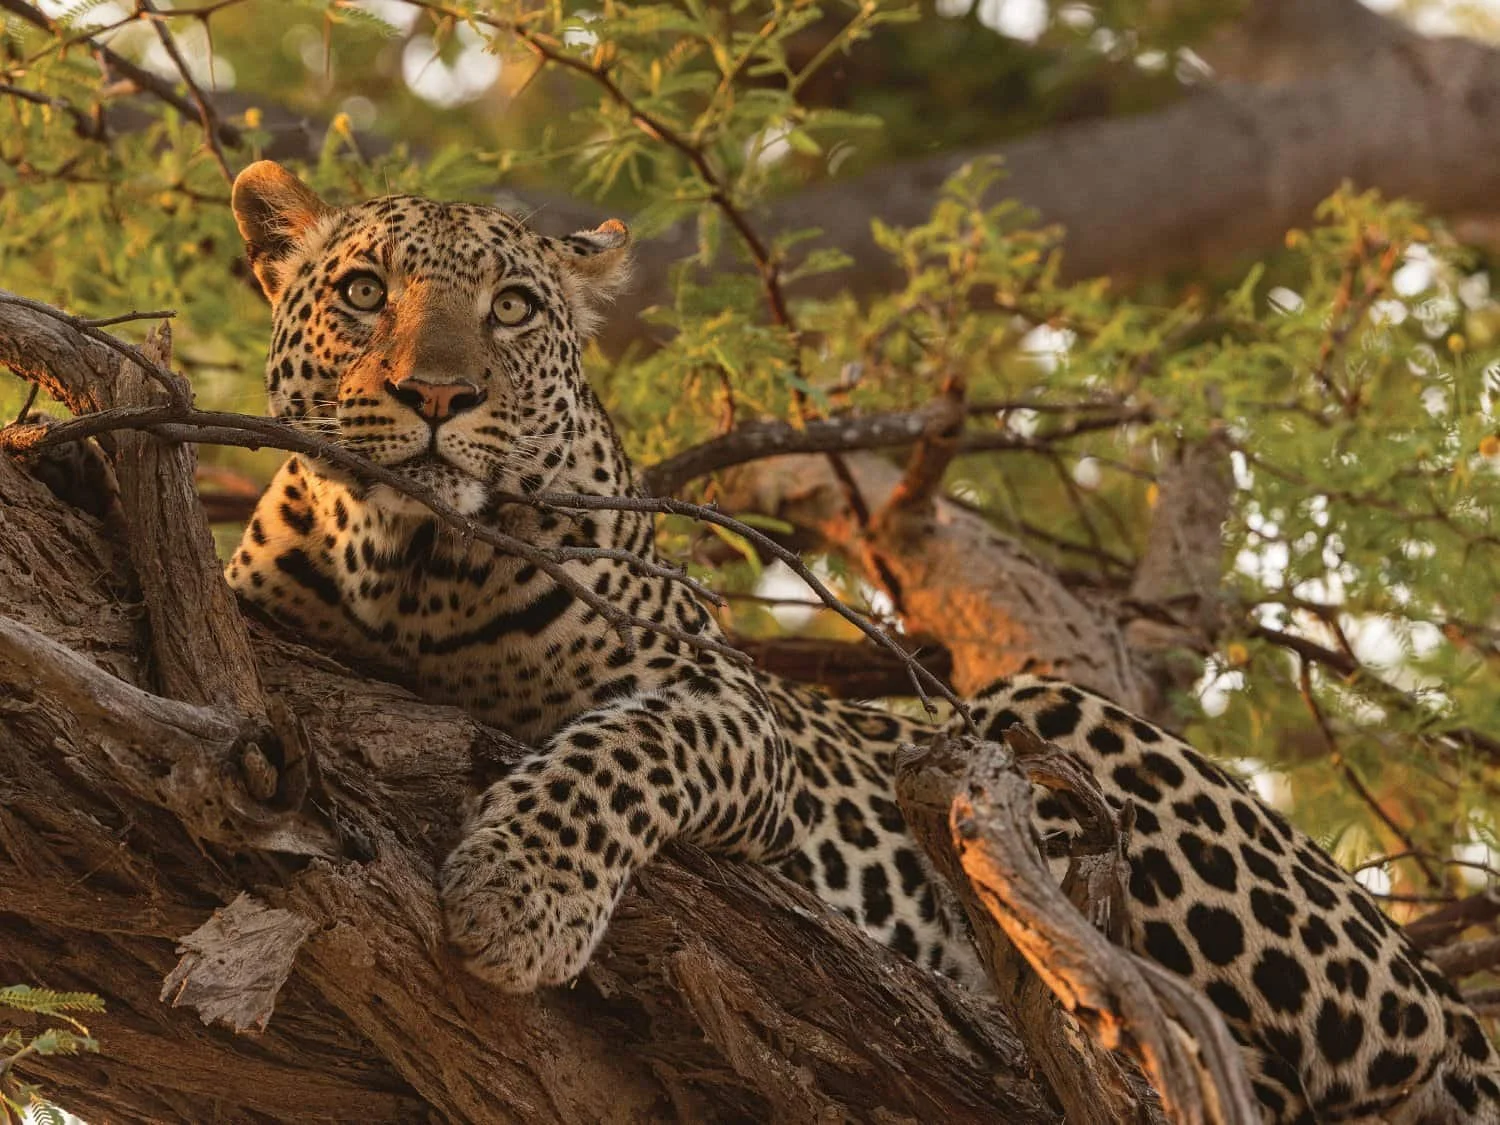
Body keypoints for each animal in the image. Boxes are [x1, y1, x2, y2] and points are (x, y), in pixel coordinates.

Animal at [224, 159, 1499, 1124]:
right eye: (363, 291)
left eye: (513, 310)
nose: (439, 396)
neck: (407, 572)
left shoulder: (730, 708)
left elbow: (617, 753)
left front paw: (519, 893)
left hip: (1057, 721)